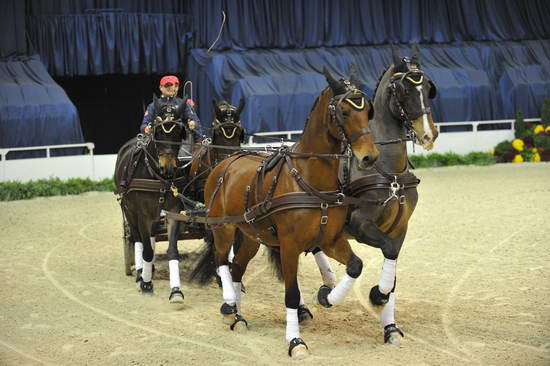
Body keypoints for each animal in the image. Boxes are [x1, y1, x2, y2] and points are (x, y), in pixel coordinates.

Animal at [113, 94, 188, 300]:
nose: (168, 168)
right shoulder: (143, 215)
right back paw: (140, 273)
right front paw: (146, 284)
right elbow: (146, 249)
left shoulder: (173, 211)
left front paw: (176, 291)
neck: (157, 177)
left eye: (179, 133)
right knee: (137, 238)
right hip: (129, 211)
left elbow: (172, 251)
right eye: (158, 132)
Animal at [190, 68, 380, 358]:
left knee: (237, 267)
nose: (369, 157)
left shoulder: (330, 239)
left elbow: (355, 266)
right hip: (223, 228)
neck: (308, 180)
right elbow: (291, 294)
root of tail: (225, 162)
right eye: (344, 111)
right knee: (222, 261)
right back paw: (229, 304)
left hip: (251, 236)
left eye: (368, 110)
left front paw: (328, 297)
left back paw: (237, 315)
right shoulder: (289, 246)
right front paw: (295, 341)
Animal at [314, 44, 440, 344]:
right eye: (404, 90)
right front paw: (376, 295)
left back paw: (327, 283)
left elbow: (392, 264)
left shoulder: (400, 228)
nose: (428, 134)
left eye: (428, 87)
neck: (388, 171)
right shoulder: (361, 226)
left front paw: (390, 325)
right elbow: (386, 253)